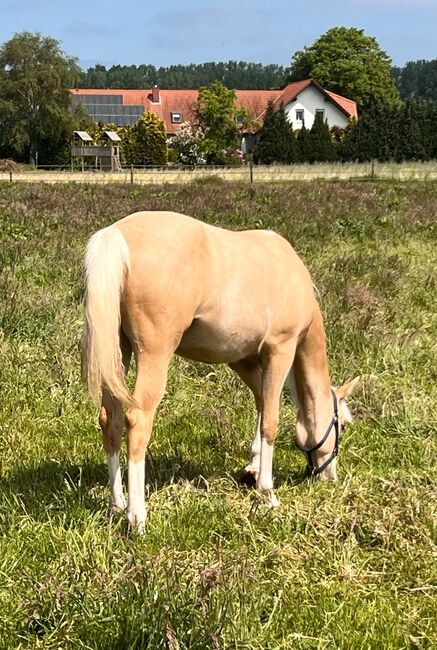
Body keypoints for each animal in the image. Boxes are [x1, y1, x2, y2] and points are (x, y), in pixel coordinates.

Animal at [82, 210, 358, 528]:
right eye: (340, 425)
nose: (328, 476)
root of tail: (116, 235)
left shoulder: (243, 360)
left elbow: (261, 404)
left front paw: (253, 467)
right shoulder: (280, 349)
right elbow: (270, 421)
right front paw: (267, 492)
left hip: (117, 351)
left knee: (110, 420)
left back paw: (116, 505)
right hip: (153, 355)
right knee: (137, 420)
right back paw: (136, 516)